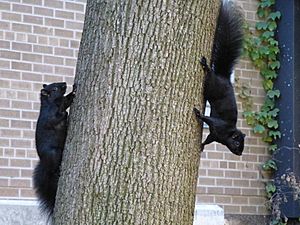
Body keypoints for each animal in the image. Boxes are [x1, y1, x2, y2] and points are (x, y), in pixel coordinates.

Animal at [33, 82, 75, 218]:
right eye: (55, 88)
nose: (65, 83)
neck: (53, 103)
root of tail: (45, 165)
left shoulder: (62, 101)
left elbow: (67, 101)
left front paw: (73, 92)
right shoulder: (49, 118)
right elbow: (57, 118)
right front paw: (64, 114)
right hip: (53, 154)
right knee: (54, 168)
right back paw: (58, 170)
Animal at [193, 0, 245, 156]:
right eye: (237, 143)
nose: (240, 153)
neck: (227, 134)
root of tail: (224, 77)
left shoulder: (215, 135)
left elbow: (208, 139)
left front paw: (202, 146)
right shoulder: (218, 125)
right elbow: (208, 119)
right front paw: (199, 114)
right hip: (211, 85)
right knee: (210, 74)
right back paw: (206, 66)